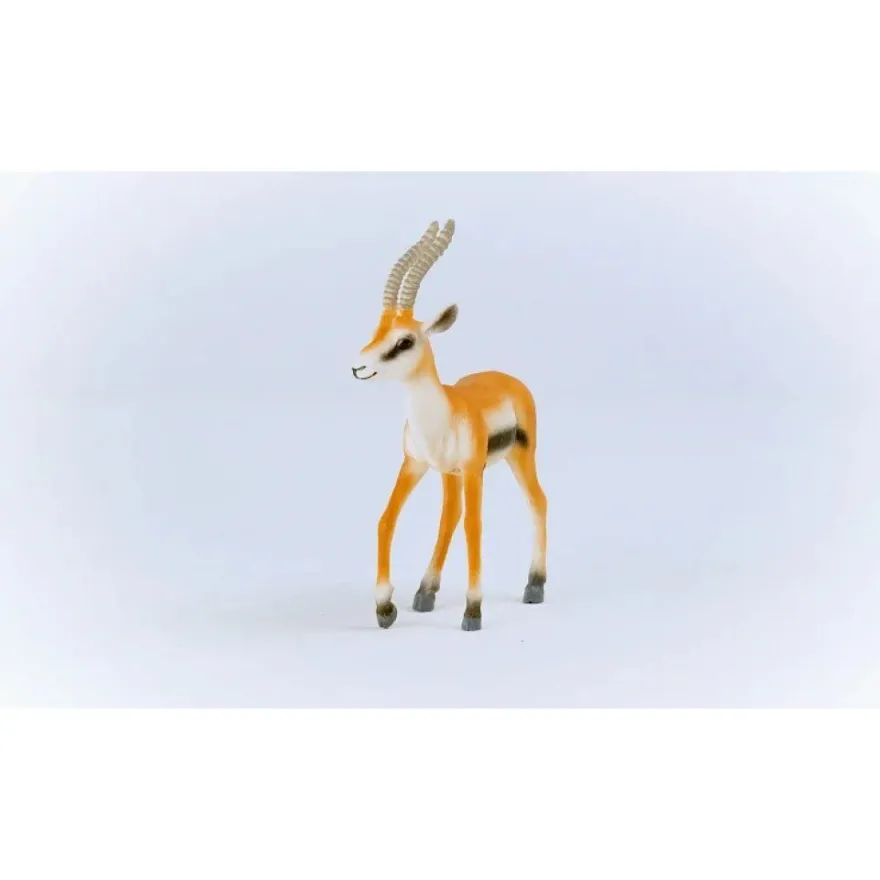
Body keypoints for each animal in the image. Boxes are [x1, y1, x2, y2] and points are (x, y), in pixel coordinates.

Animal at [351, 220, 548, 632]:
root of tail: (508, 378)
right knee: (450, 516)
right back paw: (425, 592)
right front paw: (385, 608)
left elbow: (475, 526)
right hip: (448, 473)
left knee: (537, 501)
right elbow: (386, 520)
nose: (358, 367)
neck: (442, 412)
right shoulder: (414, 464)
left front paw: (473, 612)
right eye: (377, 330)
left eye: (404, 341)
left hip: (519, 458)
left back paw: (535, 586)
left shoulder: (473, 470)